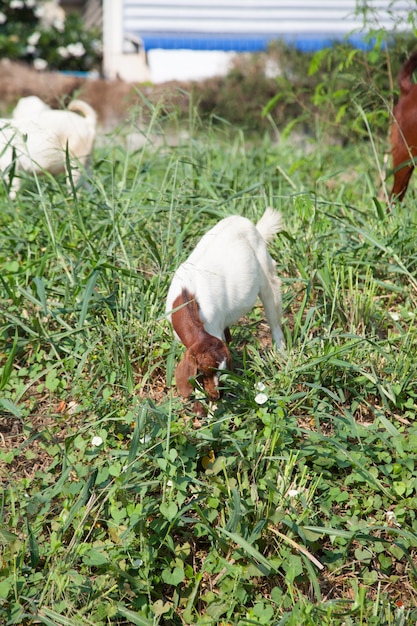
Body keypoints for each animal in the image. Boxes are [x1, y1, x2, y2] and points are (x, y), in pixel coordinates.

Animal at [164, 207, 284, 416]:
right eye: (204, 371)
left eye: (223, 370)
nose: (216, 396)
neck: (187, 299)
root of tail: (245, 223)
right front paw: (200, 408)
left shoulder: (213, 329)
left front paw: (211, 412)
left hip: (266, 272)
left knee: (273, 311)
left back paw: (282, 354)